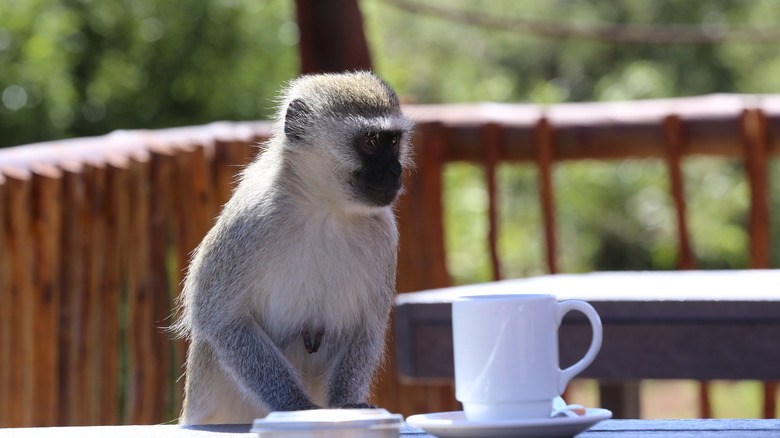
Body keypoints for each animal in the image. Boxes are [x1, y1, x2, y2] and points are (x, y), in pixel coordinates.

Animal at [171, 71, 414, 424]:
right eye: (369, 142)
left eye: (393, 141)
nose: (396, 171)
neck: (325, 208)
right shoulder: (250, 220)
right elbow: (219, 319)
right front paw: (297, 406)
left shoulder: (384, 233)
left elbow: (367, 327)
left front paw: (345, 405)